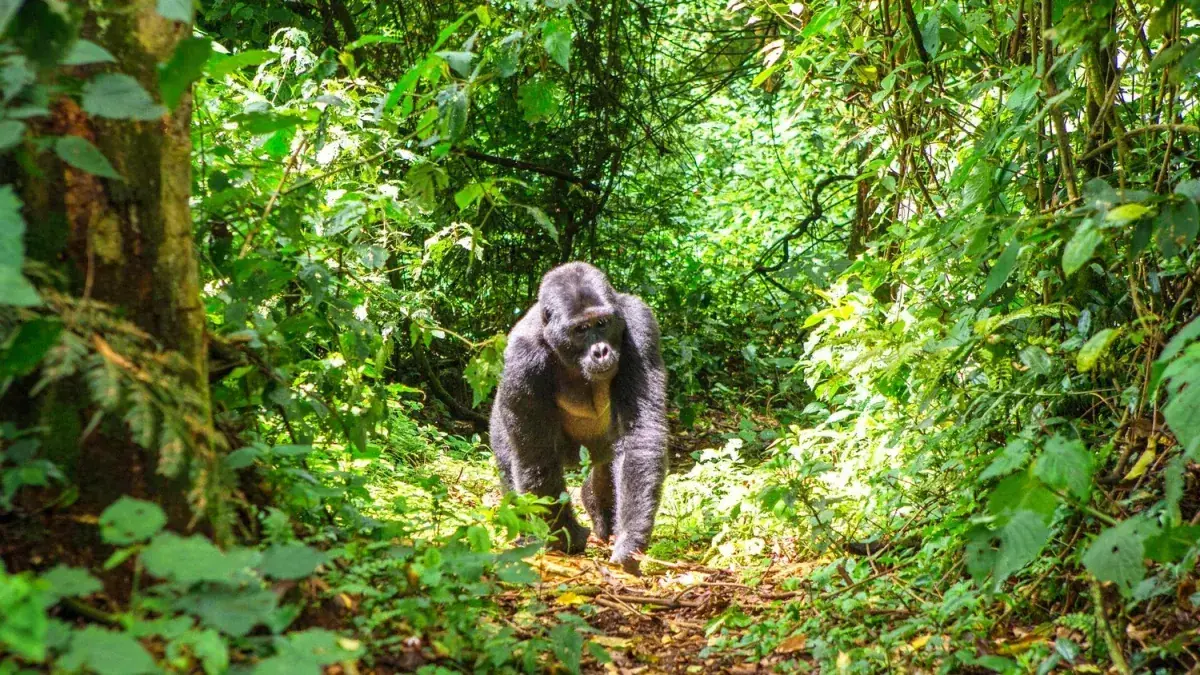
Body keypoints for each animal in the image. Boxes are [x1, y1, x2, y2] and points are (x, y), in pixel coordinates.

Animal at [489, 262, 668, 574]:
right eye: (581, 329)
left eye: (602, 324)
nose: (601, 351)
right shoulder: (522, 357)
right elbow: (537, 457)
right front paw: (566, 536)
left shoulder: (640, 324)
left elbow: (640, 435)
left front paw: (630, 540)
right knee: (511, 462)